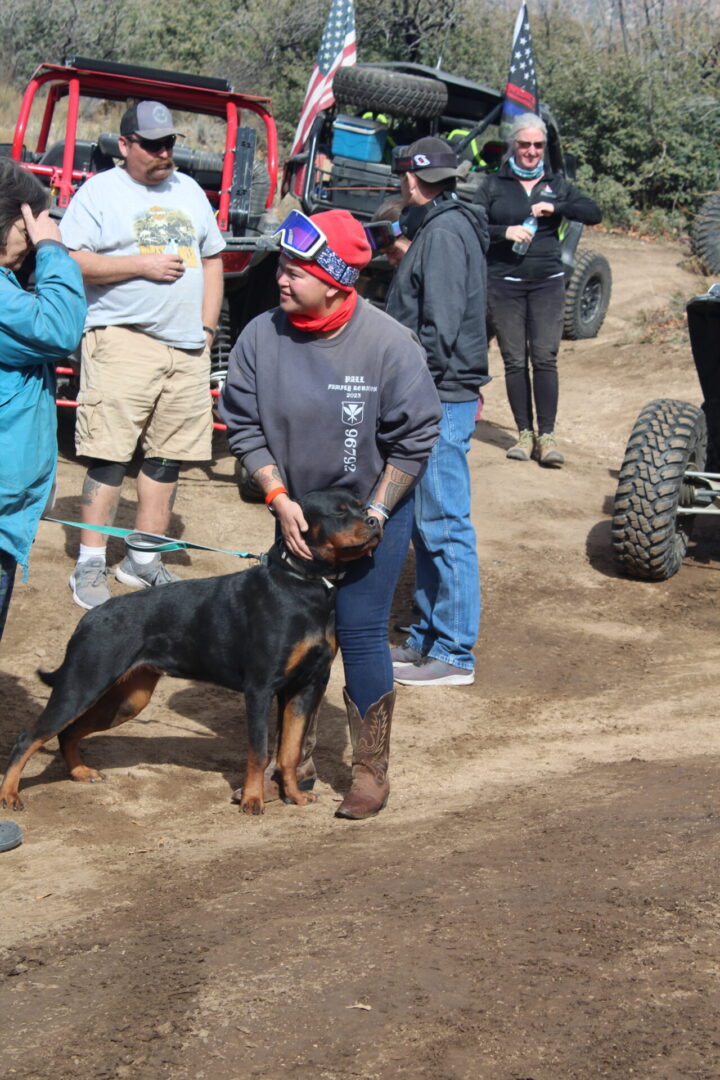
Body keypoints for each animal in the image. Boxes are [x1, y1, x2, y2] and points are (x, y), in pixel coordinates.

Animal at [0, 488, 379, 812]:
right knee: (29, 737)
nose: (375, 521)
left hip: (126, 699)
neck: (303, 583)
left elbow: (290, 751)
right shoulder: (260, 688)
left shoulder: (305, 687)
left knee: (68, 731)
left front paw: (296, 796)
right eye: (339, 512)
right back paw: (10, 795)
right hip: (82, 684)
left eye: (362, 507)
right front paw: (252, 801)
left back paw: (80, 772)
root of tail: (90, 618)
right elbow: (259, 751)